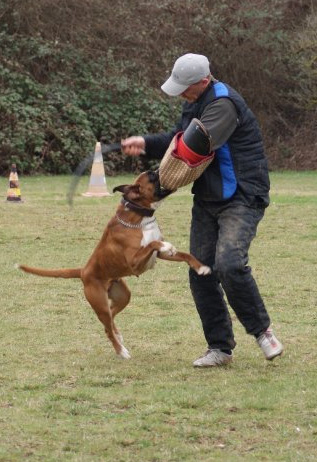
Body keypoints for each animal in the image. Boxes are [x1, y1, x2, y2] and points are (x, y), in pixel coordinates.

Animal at [19, 171, 210, 360]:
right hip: (100, 304)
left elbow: (184, 255)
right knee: (107, 326)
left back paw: (118, 335)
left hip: (122, 297)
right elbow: (153, 244)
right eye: (152, 176)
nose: (158, 170)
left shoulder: (160, 256)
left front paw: (201, 267)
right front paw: (167, 245)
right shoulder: (135, 262)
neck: (140, 217)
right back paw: (120, 350)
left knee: (110, 320)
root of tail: (83, 271)